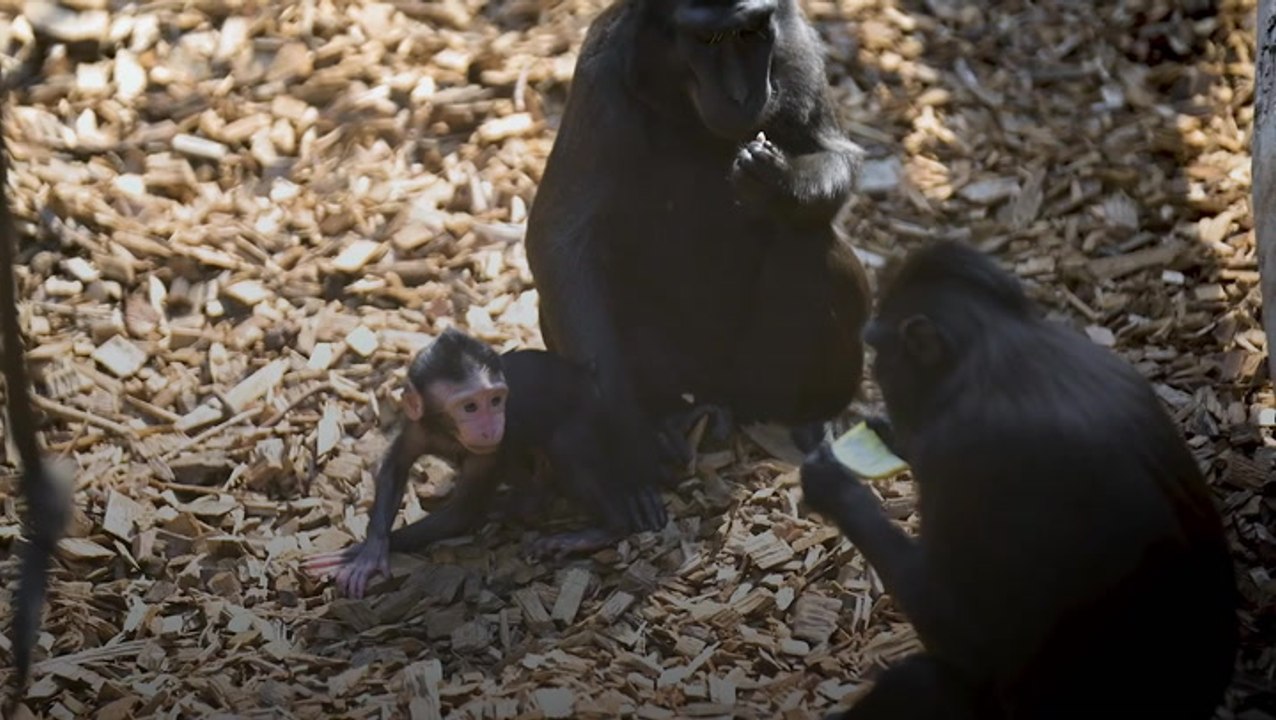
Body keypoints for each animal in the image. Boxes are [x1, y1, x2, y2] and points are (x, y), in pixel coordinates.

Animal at [303, 328, 668, 598]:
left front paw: (353, 554)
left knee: (563, 446)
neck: (449, 433)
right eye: (469, 407)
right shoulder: (419, 424)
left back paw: (599, 528)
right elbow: (396, 463)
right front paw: (371, 549)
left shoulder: (489, 452)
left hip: (591, 415)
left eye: (495, 400)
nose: (491, 426)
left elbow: (462, 512)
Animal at [523, 0, 872, 480]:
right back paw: (667, 419)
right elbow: (559, 236)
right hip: (680, 367)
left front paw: (782, 184)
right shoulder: (600, 75)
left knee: (811, 245)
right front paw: (624, 434)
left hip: (756, 374)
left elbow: (838, 154)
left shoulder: (798, 44)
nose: (742, 95)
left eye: (750, 32)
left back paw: (805, 418)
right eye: (708, 40)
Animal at [797, 240, 1239, 719]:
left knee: (923, 682)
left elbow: (970, 641)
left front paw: (836, 488)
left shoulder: (959, 455)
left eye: (879, 351)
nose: (874, 373)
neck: (993, 348)